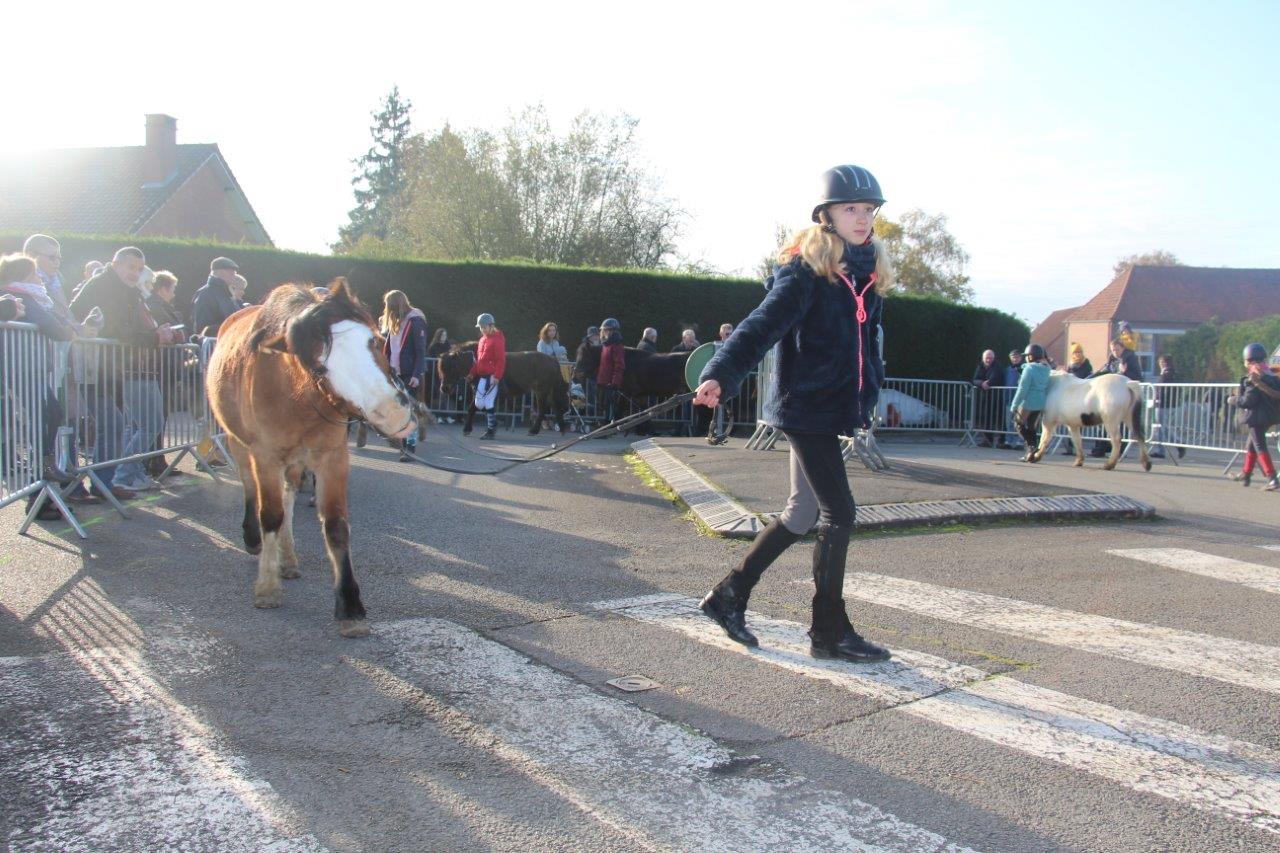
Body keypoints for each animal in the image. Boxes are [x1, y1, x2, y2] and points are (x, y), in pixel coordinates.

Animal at [206, 275, 414, 635]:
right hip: (238, 443)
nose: (392, 415)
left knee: (289, 495)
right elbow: (270, 514)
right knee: (251, 489)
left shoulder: (333, 458)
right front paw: (267, 588)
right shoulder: (264, 456)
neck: (295, 393)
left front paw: (350, 606)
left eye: (374, 340)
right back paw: (255, 540)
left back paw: (287, 558)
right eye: (320, 366)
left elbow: (335, 525)